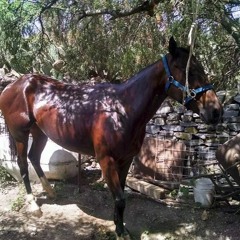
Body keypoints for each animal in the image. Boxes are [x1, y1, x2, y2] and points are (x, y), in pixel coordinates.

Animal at [0, 37, 223, 238]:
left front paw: (120, 226)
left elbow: (121, 197)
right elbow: (120, 199)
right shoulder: (106, 161)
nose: (216, 111)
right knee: (22, 163)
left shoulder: (125, 160)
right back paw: (33, 205)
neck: (120, 110)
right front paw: (120, 232)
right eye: (189, 71)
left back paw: (50, 192)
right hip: (20, 134)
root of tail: (13, 85)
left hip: (39, 133)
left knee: (34, 158)